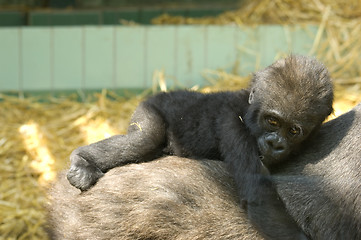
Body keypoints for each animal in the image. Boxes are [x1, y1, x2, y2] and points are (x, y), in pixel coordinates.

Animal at [67, 54, 332, 240]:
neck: (248, 109)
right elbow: (259, 197)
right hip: (151, 107)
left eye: (294, 131)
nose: (275, 143)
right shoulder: (233, 127)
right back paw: (83, 160)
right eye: (272, 121)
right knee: (143, 139)